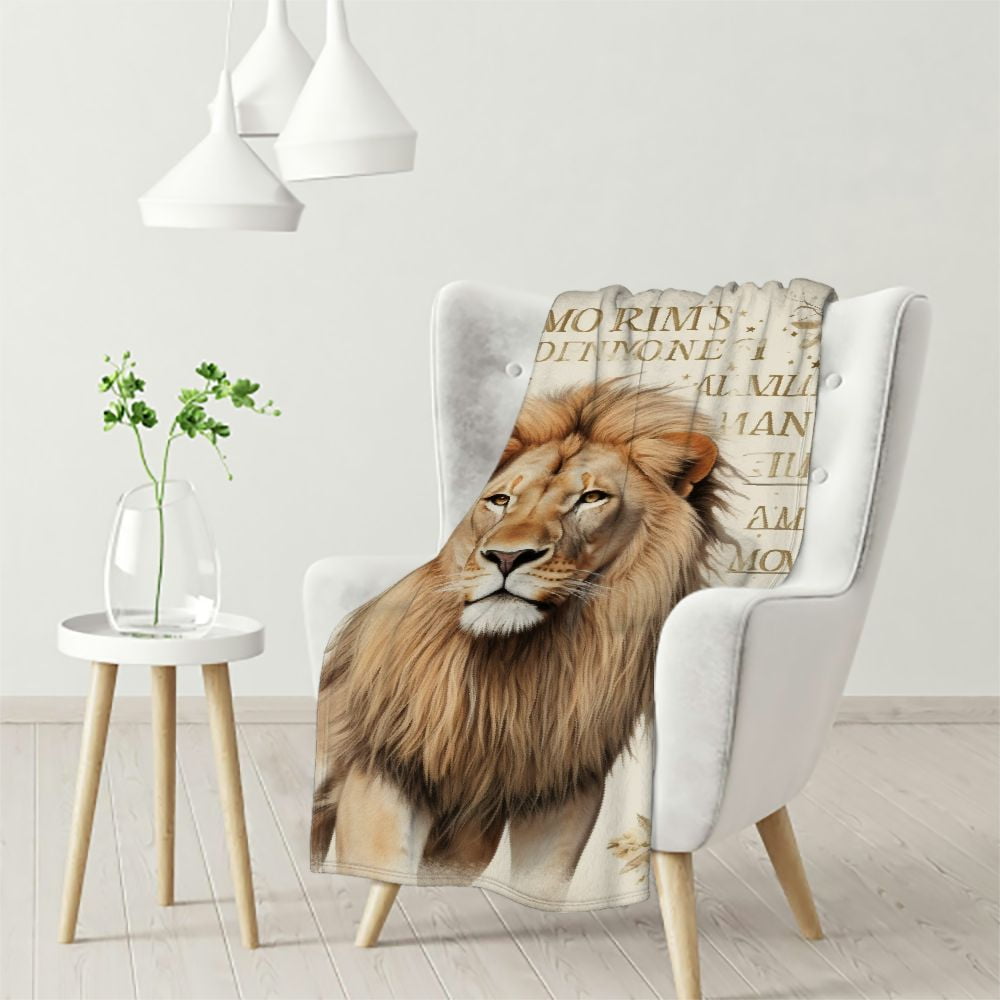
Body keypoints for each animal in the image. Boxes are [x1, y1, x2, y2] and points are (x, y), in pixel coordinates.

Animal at [311, 378, 729, 895]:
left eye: (592, 497)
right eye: (499, 500)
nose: (507, 557)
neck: (516, 670)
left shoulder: (561, 791)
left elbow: (544, 881)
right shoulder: (382, 770)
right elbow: (380, 862)